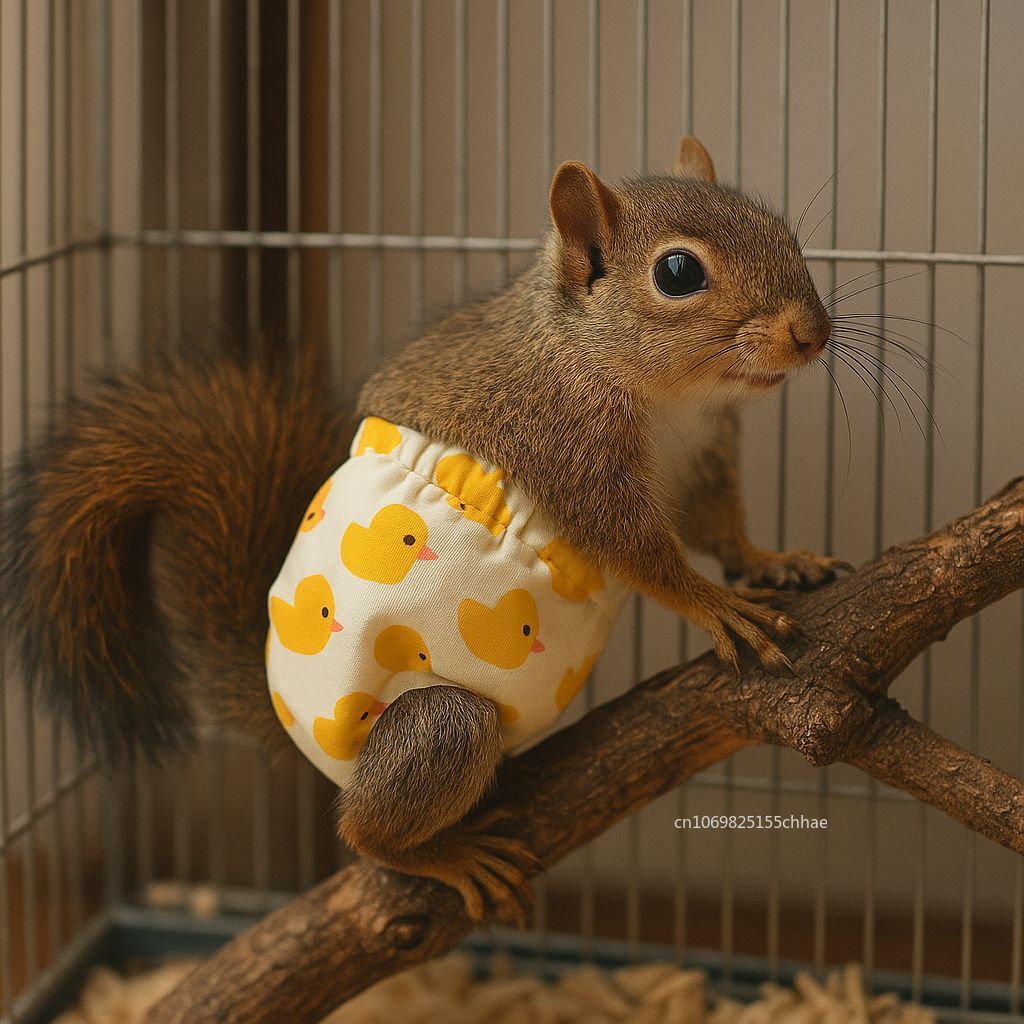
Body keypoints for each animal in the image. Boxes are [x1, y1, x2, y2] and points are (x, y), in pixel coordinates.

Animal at [2, 137, 848, 924]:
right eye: (677, 273)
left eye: (783, 231)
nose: (813, 333)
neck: (667, 396)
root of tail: (286, 713)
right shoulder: (566, 451)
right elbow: (642, 555)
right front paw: (716, 605)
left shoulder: (703, 453)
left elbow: (719, 526)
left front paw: (771, 560)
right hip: (441, 726)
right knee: (365, 830)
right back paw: (440, 855)